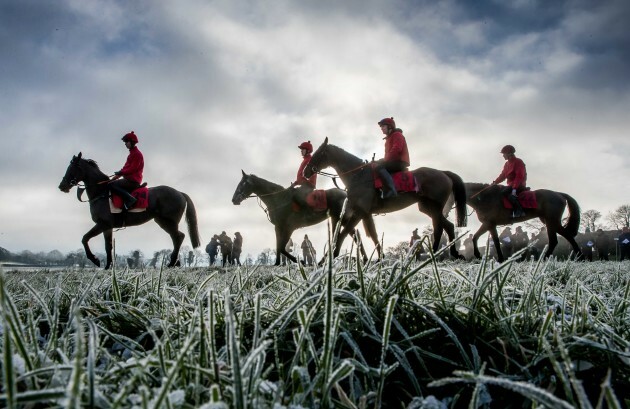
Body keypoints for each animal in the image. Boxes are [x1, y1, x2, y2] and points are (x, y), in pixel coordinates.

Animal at [58, 152, 202, 268]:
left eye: (72, 168)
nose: (62, 186)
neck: (101, 192)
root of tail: (179, 193)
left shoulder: (102, 224)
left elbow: (85, 238)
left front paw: (95, 260)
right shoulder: (107, 227)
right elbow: (107, 246)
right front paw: (108, 266)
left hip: (168, 222)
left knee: (178, 237)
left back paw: (172, 263)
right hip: (163, 221)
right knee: (177, 237)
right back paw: (175, 263)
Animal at [232, 170, 372, 262]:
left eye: (243, 183)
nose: (234, 200)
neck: (278, 198)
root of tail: (346, 193)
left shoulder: (288, 227)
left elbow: (282, 247)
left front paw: (300, 262)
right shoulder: (278, 227)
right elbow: (278, 247)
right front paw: (277, 264)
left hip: (340, 219)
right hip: (341, 220)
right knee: (354, 236)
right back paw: (364, 259)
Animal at [304, 137, 472, 258]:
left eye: (319, 153)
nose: (306, 171)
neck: (358, 175)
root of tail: (443, 173)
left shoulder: (359, 212)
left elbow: (343, 234)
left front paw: (330, 256)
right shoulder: (365, 213)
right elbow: (373, 235)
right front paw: (380, 259)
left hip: (435, 207)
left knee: (438, 228)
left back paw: (434, 254)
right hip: (427, 207)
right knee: (448, 226)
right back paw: (453, 253)